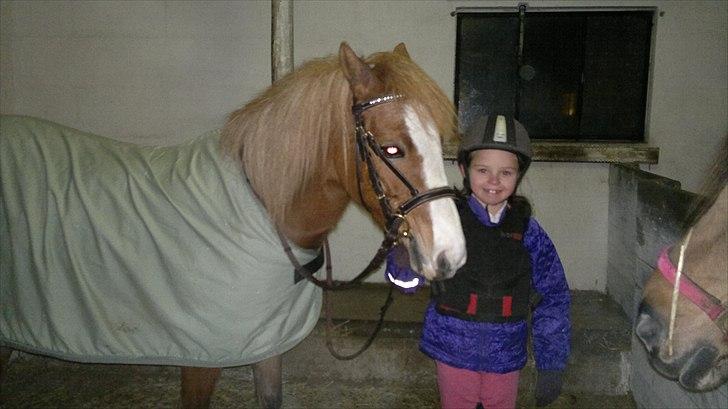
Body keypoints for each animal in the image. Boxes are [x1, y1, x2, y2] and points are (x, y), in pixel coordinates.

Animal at [0, 42, 467, 408]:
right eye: (391, 148)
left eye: (437, 139)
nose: (452, 254)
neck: (264, 207)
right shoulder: (201, 357)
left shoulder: (266, 341)